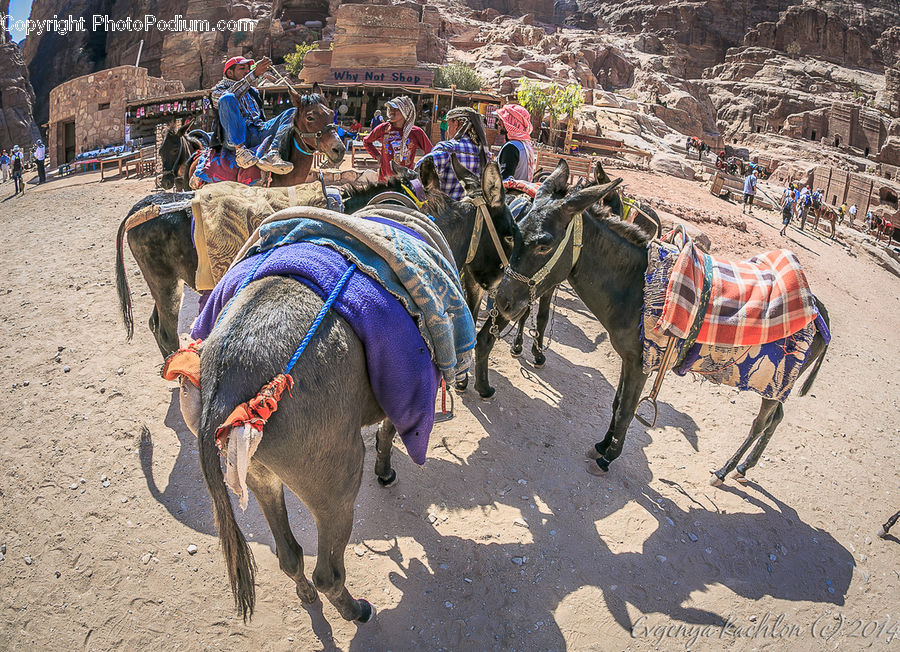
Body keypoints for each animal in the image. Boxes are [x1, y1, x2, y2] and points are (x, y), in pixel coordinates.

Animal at [181, 159, 513, 623]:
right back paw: (356, 610)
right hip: (335, 487)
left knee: (289, 555)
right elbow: (390, 432)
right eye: (510, 234)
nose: (506, 295)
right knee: (328, 573)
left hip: (260, 475)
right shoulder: (409, 386)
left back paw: (306, 595)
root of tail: (227, 388)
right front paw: (386, 471)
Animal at [493, 159, 831, 484]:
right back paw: (744, 468)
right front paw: (603, 445)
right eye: (515, 230)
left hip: (774, 382)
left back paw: (725, 471)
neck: (636, 285)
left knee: (761, 422)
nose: (502, 302)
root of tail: (819, 310)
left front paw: (608, 457)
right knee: (777, 418)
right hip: (776, 388)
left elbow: (627, 409)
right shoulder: (631, 358)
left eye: (544, 244)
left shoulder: (643, 361)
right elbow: (617, 403)